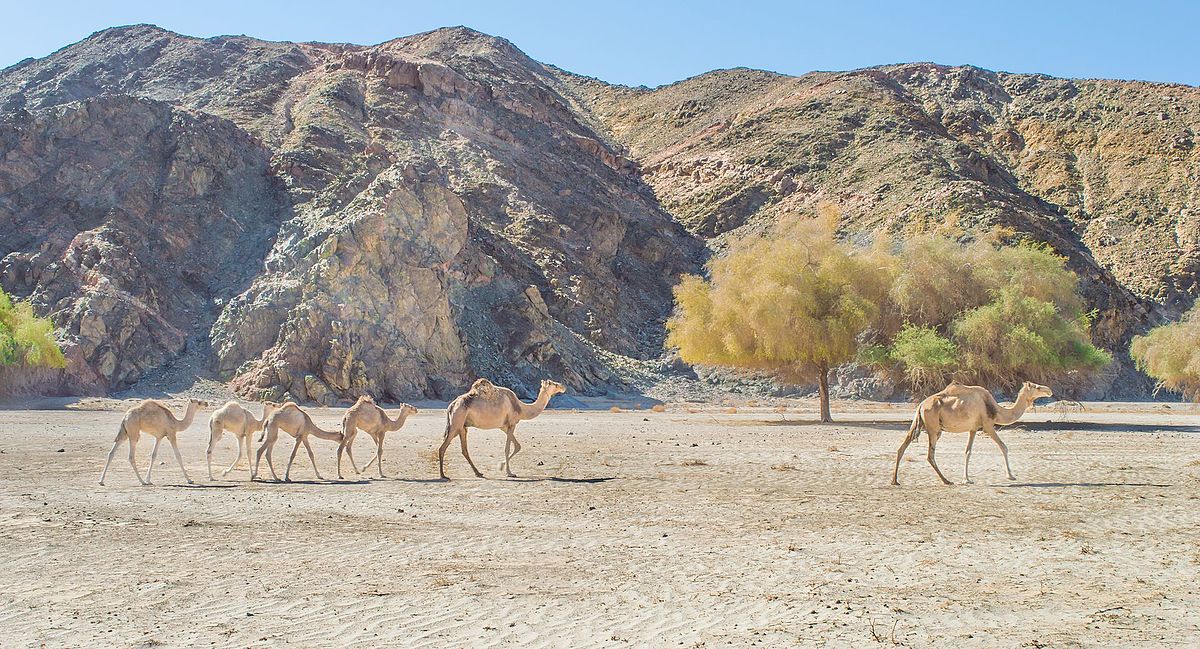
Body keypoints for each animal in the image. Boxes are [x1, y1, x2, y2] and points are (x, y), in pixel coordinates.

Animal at [892, 379, 1051, 484]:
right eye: (1037, 387)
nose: (1049, 390)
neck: (995, 409)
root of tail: (920, 405)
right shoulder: (988, 426)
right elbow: (1003, 447)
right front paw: (1010, 476)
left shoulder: (973, 428)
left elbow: (968, 452)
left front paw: (966, 479)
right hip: (933, 428)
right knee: (930, 455)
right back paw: (946, 481)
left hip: (919, 423)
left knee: (902, 447)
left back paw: (895, 480)